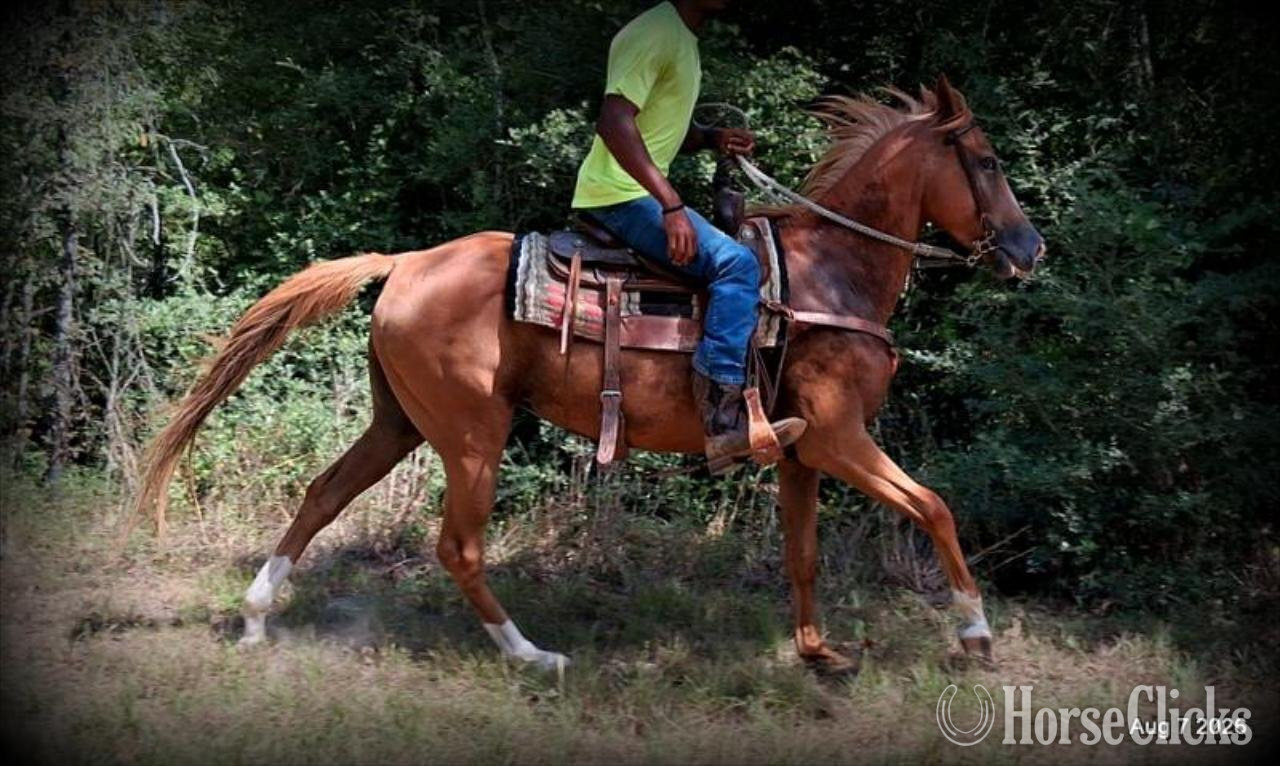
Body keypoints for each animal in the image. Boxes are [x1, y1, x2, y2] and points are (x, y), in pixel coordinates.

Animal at [132, 75, 1044, 674]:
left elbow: (803, 554)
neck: (831, 274)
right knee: (458, 545)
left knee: (324, 494)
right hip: (473, 433)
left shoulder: (800, 454)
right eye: (988, 161)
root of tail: (404, 264)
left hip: (399, 421)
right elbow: (935, 507)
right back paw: (531, 654)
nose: (1029, 249)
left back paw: (257, 619)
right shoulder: (837, 436)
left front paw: (819, 654)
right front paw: (974, 632)